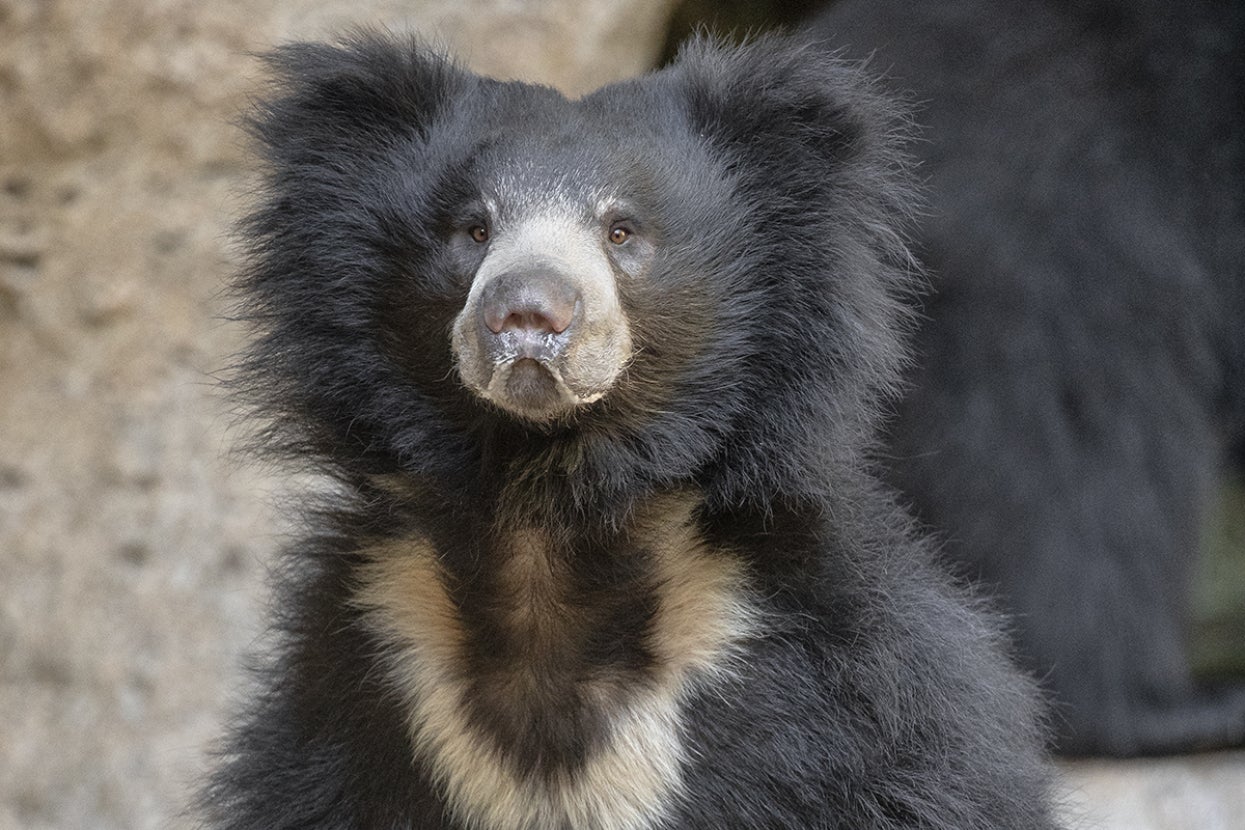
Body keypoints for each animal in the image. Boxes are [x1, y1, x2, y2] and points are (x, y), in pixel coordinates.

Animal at [200, 32, 1061, 829]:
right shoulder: (365, 662)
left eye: (622, 232)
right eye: (473, 231)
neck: (547, 519)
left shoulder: (851, 683)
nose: (527, 312)